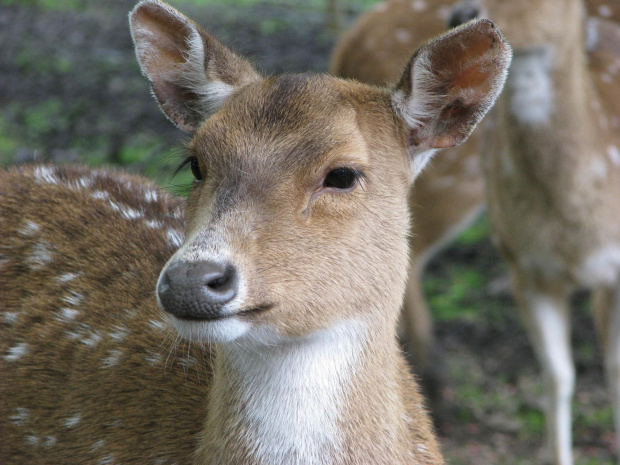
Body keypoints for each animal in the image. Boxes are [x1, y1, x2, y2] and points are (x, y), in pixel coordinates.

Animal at [332, 0, 620, 396]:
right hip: (448, 183)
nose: (463, 13)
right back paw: (435, 378)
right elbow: (561, 375)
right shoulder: (522, 262)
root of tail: (348, 43)